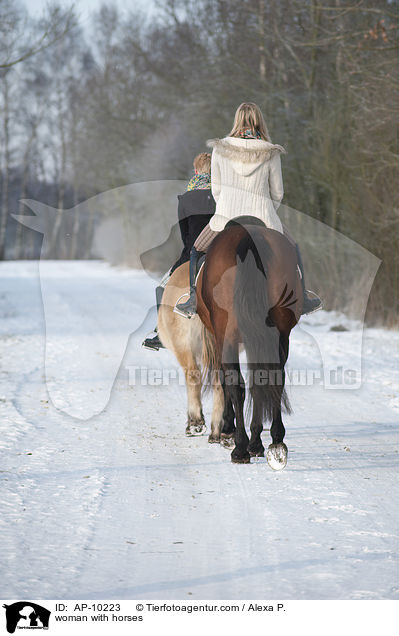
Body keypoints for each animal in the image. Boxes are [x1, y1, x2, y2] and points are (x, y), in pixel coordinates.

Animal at [197, 216, 304, 470]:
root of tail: (247, 236)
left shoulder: (219, 337)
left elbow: (226, 380)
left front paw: (226, 429)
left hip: (227, 334)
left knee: (237, 384)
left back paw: (240, 447)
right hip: (280, 334)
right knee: (270, 379)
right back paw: (272, 442)